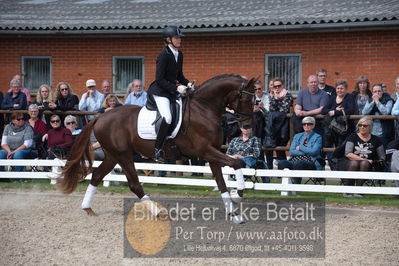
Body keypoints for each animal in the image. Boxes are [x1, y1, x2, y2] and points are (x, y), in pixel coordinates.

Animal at [61, 74, 258, 220]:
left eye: (256, 99)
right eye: (245, 97)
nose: (248, 125)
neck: (204, 109)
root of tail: (100, 116)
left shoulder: (212, 153)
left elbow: (223, 180)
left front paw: (234, 211)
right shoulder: (205, 151)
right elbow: (236, 163)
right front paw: (238, 193)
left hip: (112, 155)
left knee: (97, 175)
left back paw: (87, 208)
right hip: (123, 155)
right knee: (134, 184)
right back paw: (157, 211)